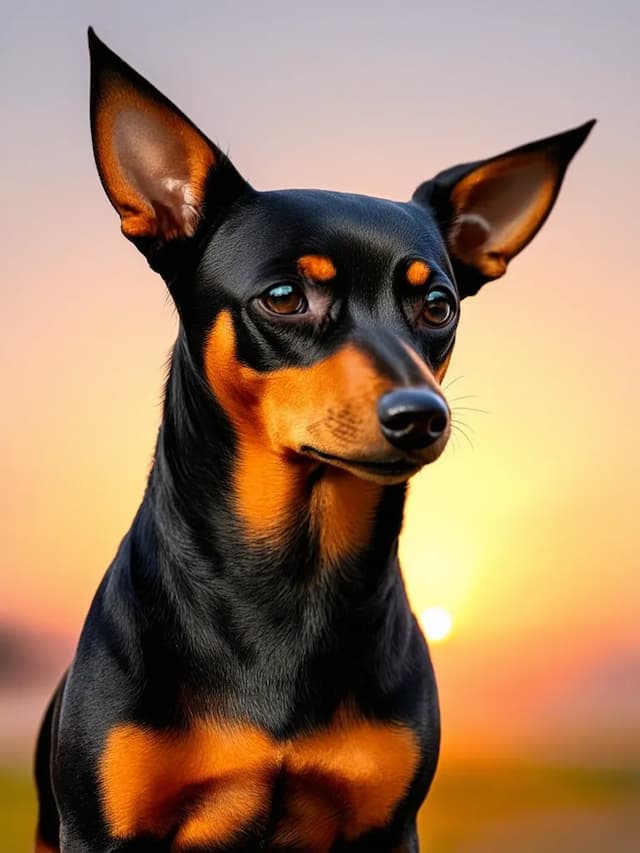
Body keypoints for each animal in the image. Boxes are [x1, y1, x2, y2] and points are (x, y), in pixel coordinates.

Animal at [33, 26, 596, 852]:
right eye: (284, 296)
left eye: (438, 304)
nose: (422, 414)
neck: (293, 578)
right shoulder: (103, 828)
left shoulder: (386, 824)